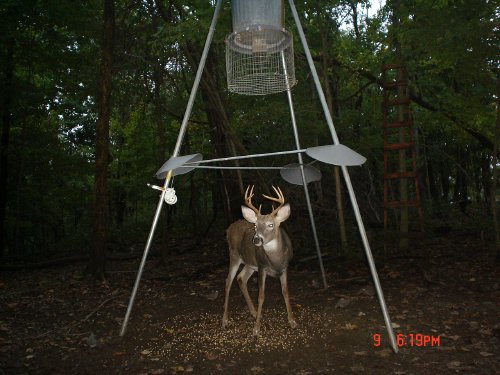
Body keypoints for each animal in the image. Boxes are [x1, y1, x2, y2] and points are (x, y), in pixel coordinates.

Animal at [221, 187, 294, 336]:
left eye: (271, 225)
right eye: (255, 225)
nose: (256, 239)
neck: (276, 261)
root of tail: (229, 228)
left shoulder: (285, 268)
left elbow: (285, 292)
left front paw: (292, 321)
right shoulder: (262, 266)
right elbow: (261, 296)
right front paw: (256, 329)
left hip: (250, 263)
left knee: (241, 278)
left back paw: (253, 312)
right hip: (234, 255)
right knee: (228, 281)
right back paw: (225, 320)